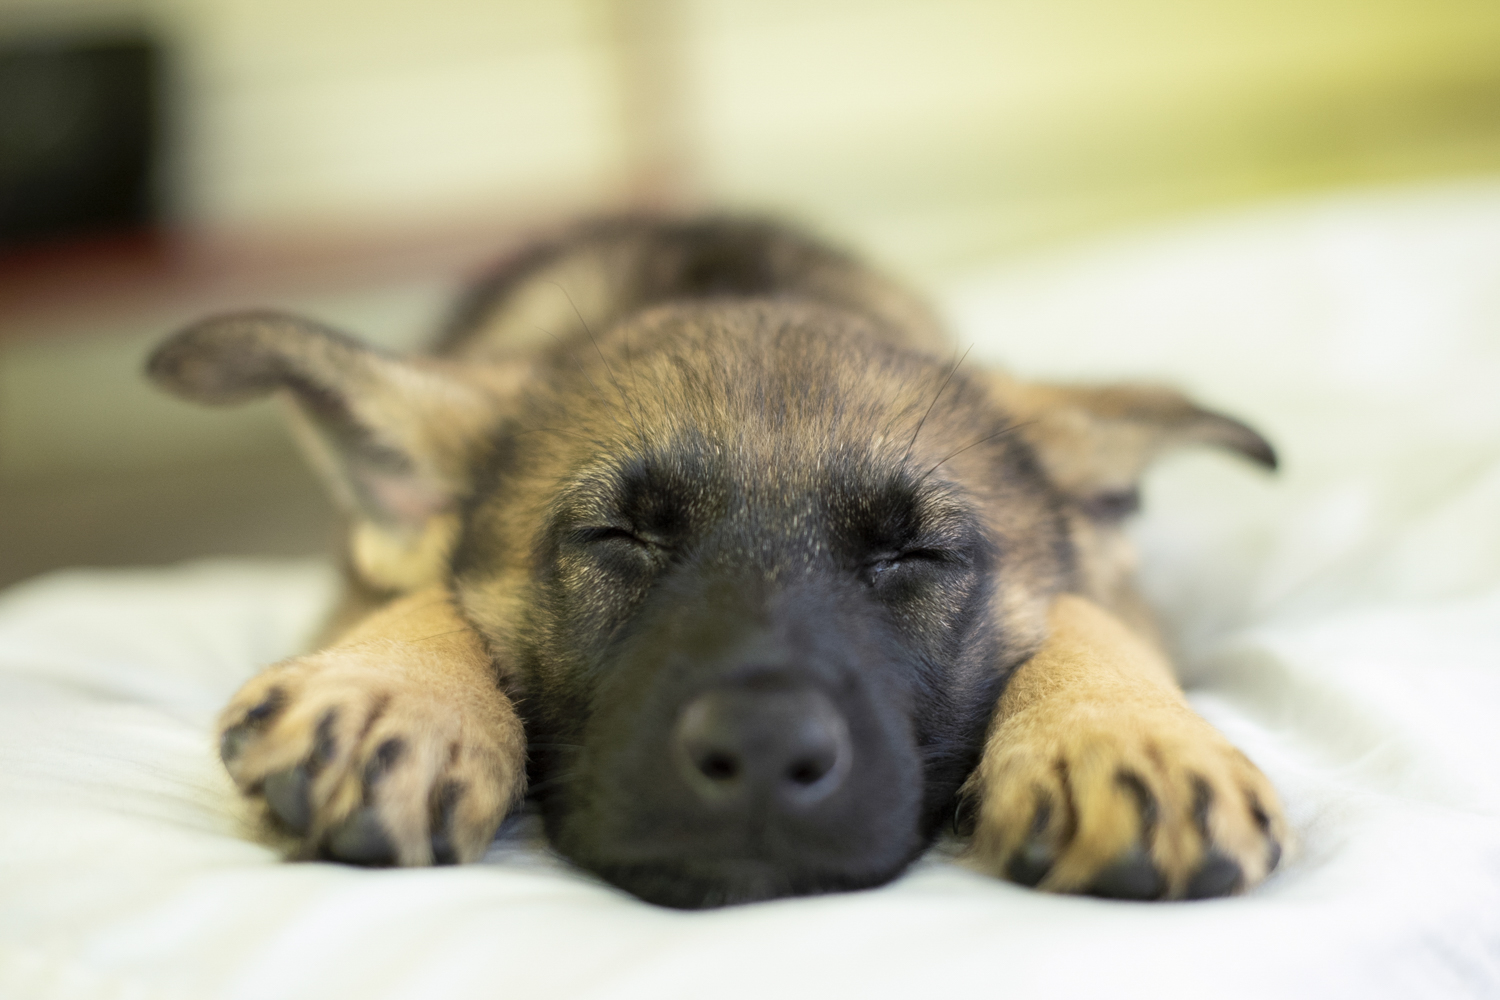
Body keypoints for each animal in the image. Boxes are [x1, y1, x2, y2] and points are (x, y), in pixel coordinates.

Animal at [146, 215, 1284, 911]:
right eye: (617, 537)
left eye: (916, 552)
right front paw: (400, 693)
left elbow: (1089, 615)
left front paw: (1121, 731)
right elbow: (431, 592)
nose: (765, 756)